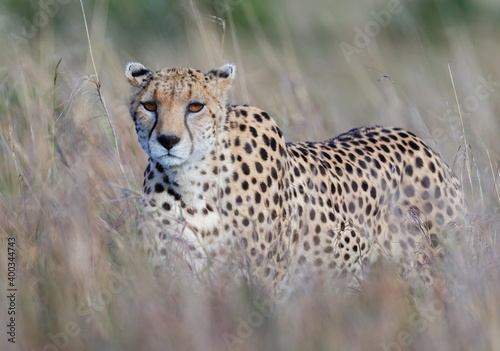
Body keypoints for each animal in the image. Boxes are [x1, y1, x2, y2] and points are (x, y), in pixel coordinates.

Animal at [126, 62, 468, 290]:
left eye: (195, 106)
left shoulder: (264, 276)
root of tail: (412, 137)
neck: (194, 179)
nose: (168, 140)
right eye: (150, 105)